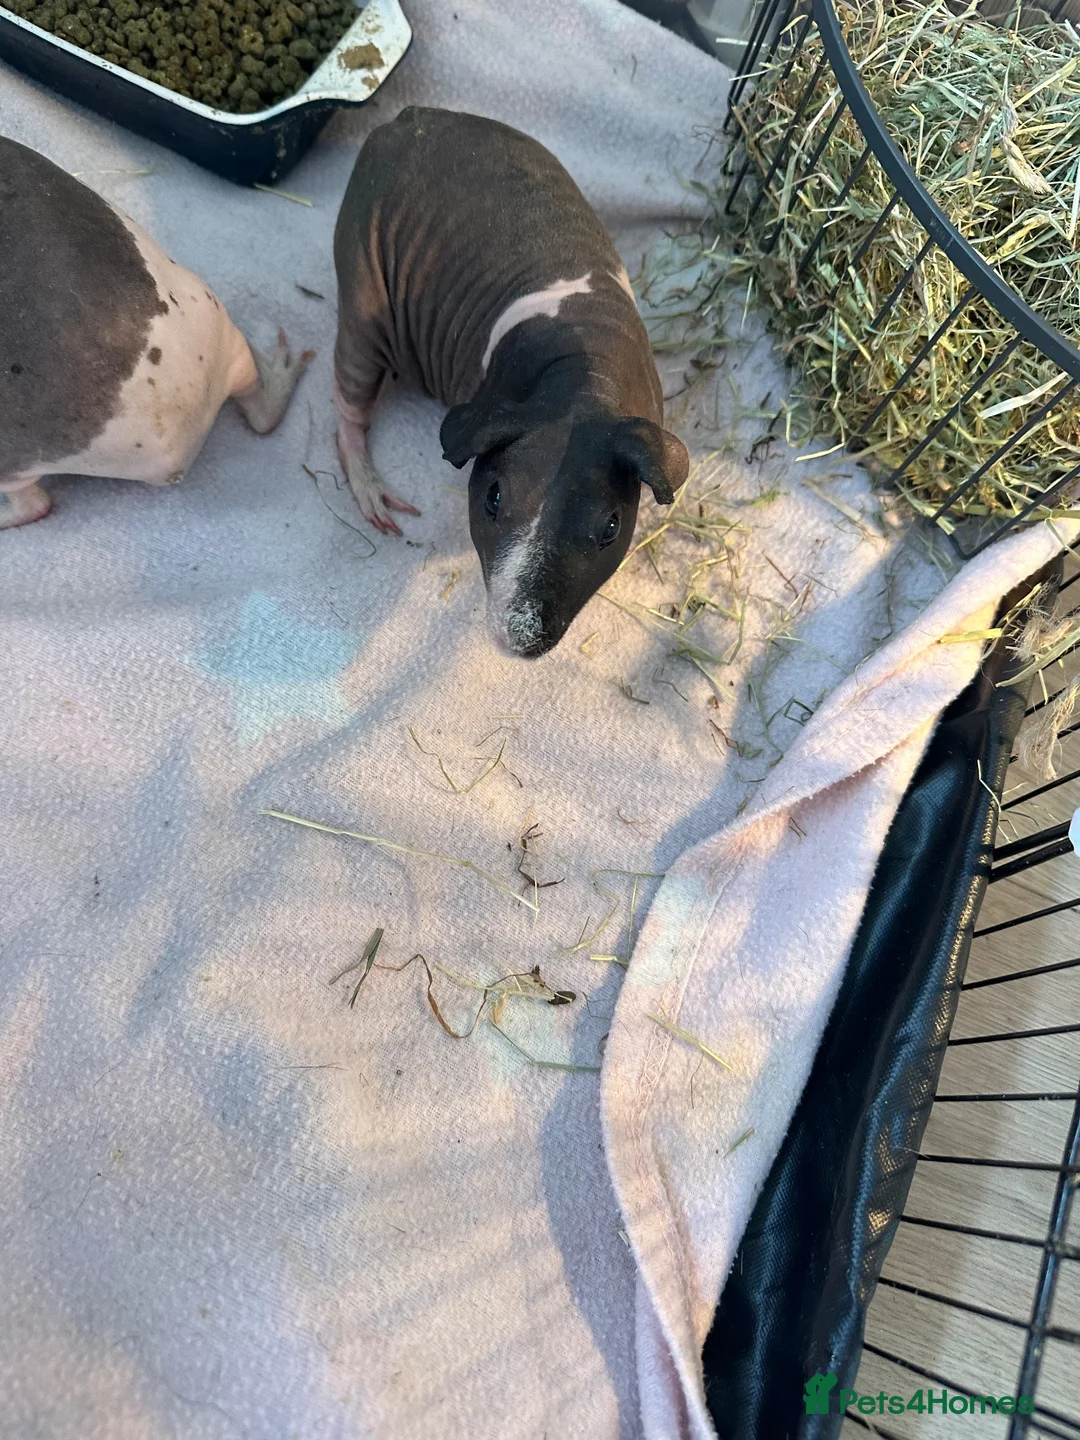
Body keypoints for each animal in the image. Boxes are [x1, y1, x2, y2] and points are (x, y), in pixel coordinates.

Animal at [333, 106, 689, 659]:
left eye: (611, 527)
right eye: (493, 498)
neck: (584, 377)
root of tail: (407, 118)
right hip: (363, 275)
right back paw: (369, 485)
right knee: (348, 395)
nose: (518, 639)